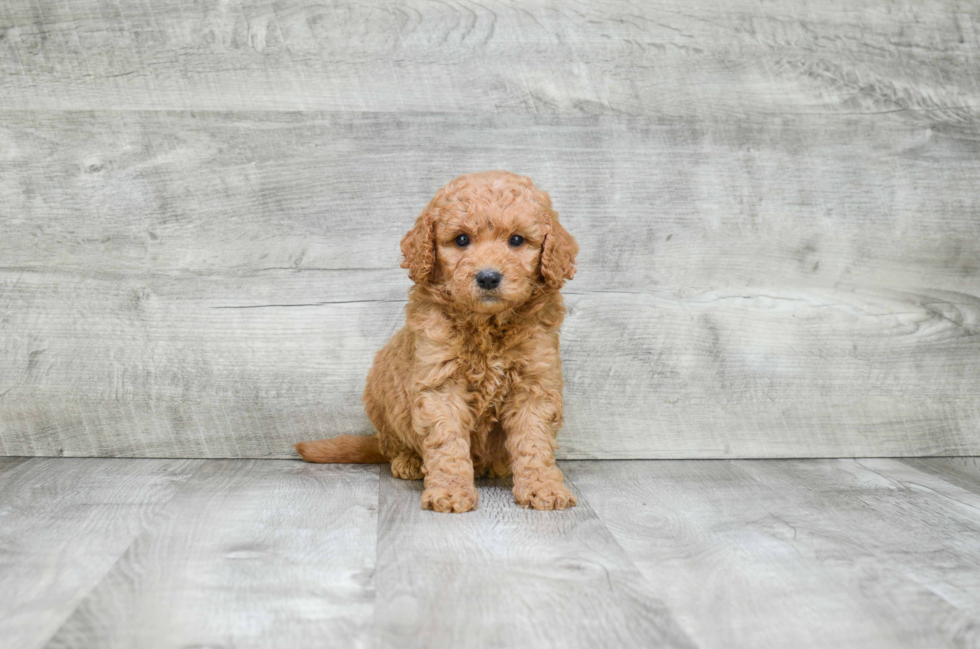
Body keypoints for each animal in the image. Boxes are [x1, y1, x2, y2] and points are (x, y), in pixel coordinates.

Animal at [294, 170, 580, 512]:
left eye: (516, 240)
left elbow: (534, 442)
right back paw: (409, 462)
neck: (486, 324)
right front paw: (451, 491)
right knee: (393, 445)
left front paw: (543, 487)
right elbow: (447, 442)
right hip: (382, 400)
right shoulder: (440, 383)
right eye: (461, 239)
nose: (488, 277)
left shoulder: (534, 383)